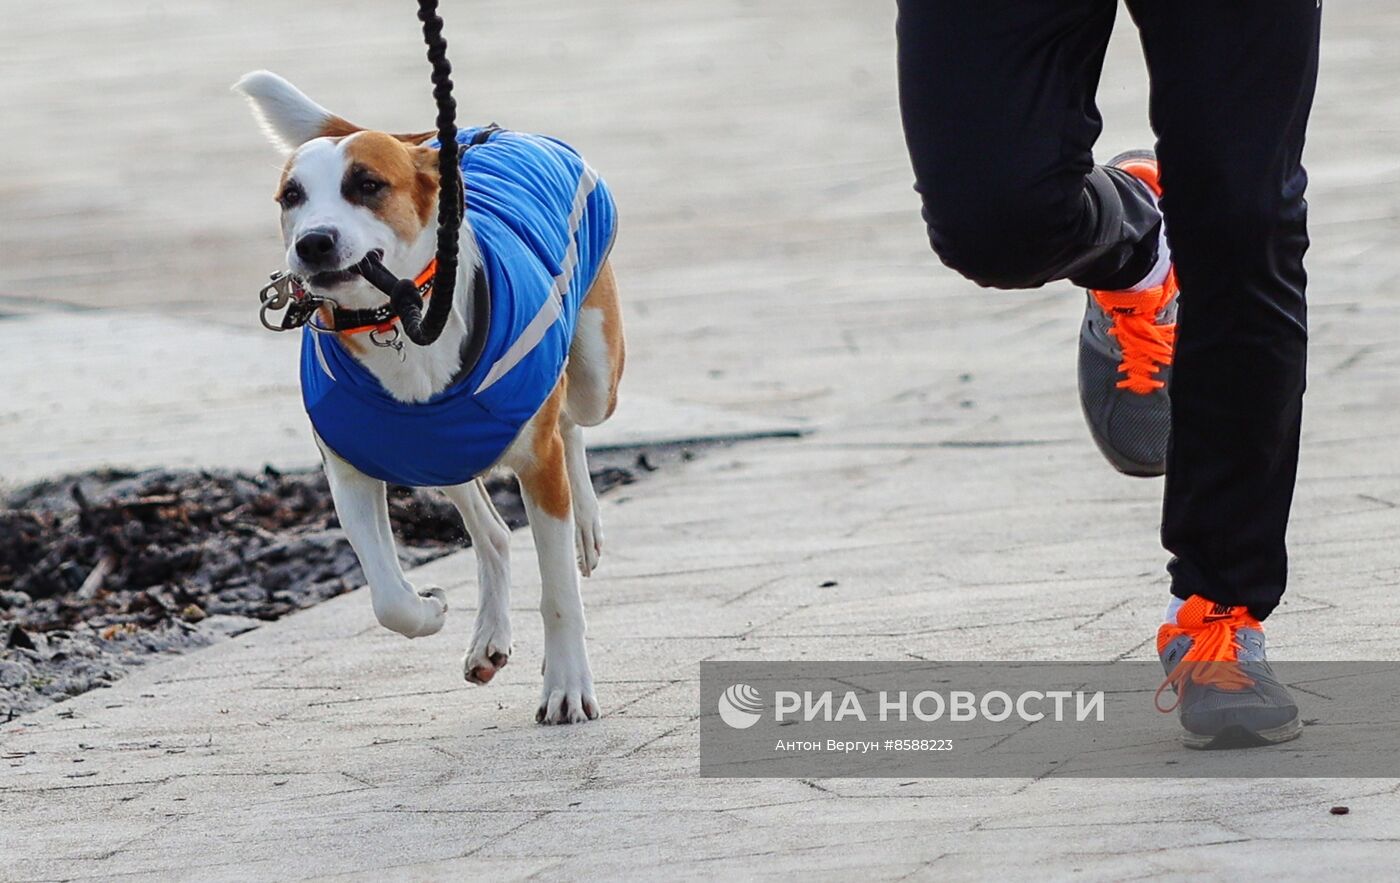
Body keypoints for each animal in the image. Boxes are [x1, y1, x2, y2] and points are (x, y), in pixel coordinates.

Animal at [236, 70, 624, 727]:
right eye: (292, 196)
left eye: (368, 184)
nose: (313, 243)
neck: (401, 317)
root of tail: (464, 136)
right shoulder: (351, 469)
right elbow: (388, 598)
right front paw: (430, 608)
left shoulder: (538, 465)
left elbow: (558, 595)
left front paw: (567, 686)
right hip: (436, 456)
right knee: (493, 534)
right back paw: (488, 637)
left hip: (597, 371)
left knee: (572, 420)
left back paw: (585, 528)